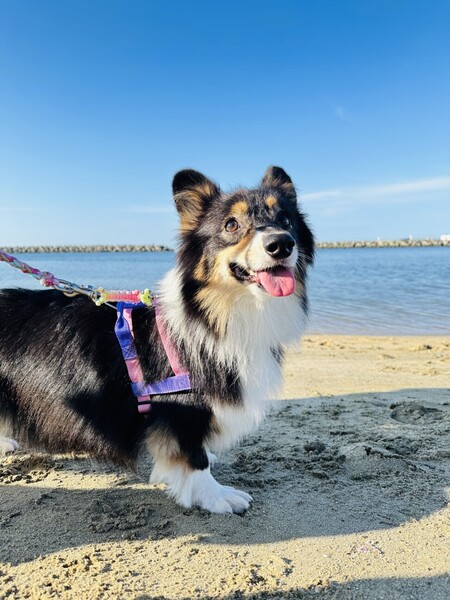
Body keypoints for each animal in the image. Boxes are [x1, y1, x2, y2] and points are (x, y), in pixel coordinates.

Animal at [0, 166, 314, 513]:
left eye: (285, 219)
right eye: (231, 224)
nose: (281, 244)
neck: (217, 311)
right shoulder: (183, 408)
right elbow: (195, 458)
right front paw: (216, 496)